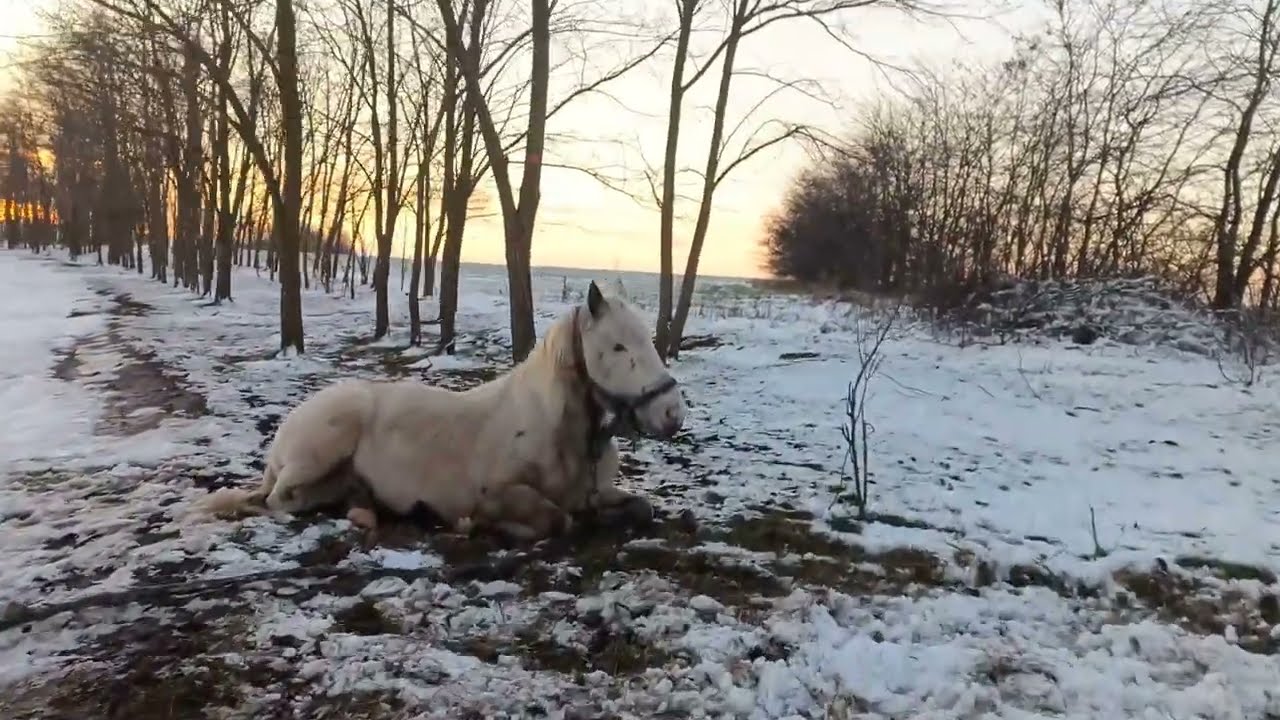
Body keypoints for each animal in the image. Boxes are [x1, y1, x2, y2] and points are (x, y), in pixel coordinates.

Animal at [189, 281, 687, 541]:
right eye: (618, 346)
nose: (672, 414)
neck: (558, 430)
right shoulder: (501, 491)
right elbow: (555, 519)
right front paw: (478, 523)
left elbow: (640, 508)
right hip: (318, 453)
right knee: (276, 501)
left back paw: (369, 512)